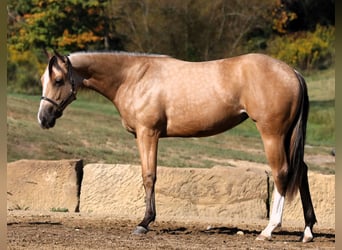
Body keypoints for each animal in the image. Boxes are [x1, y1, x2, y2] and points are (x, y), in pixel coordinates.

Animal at [36, 50, 316, 242]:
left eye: (58, 80)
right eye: (43, 80)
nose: (43, 118)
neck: (133, 77)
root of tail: (293, 72)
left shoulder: (148, 134)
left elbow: (149, 176)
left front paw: (144, 222)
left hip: (272, 134)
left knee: (282, 172)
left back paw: (269, 230)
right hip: (288, 136)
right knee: (301, 171)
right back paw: (307, 231)